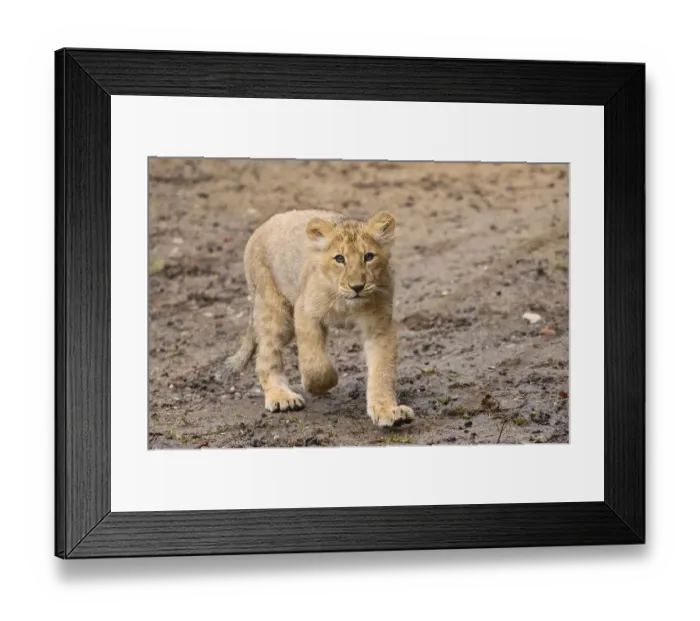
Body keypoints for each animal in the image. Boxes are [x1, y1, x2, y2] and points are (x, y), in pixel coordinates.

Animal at [227, 208, 415, 428]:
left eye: (368, 256)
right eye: (339, 258)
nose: (357, 287)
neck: (346, 304)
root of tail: (262, 226)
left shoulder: (379, 327)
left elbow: (382, 371)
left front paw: (388, 411)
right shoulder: (305, 312)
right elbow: (316, 364)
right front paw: (319, 383)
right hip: (275, 309)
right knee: (266, 355)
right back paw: (282, 398)